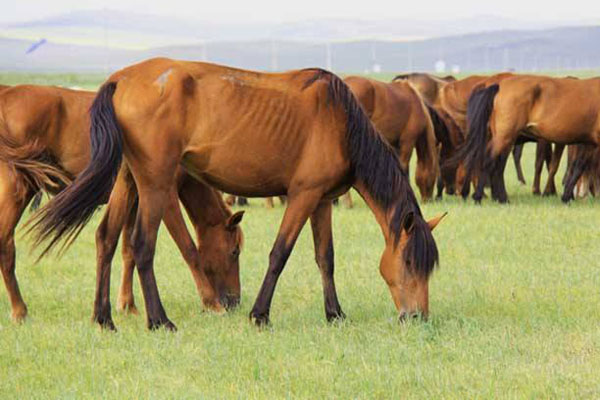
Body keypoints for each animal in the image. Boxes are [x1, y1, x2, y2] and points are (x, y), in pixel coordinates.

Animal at [0, 84, 244, 328]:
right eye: (234, 251)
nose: (235, 302)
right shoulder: (165, 196)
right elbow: (188, 248)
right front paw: (211, 303)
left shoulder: (135, 199)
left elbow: (128, 250)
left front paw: (127, 305)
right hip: (18, 189)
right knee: (6, 244)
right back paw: (19, 310)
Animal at [30, 58, 446, 328]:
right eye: (411, 262)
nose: (417, 317)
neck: (341, 121)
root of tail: (121, 79)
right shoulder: (303, 195)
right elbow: (280, 254)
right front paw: (259, 314)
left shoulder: (322, 202)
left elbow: (324, 258)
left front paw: (335, 314)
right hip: (155, 184)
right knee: (142, 245)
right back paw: (159, 320)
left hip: (128, 182)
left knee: (106, 238)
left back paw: (103, 318)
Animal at [454, 74, 600, 203]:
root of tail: (499, 86)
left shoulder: (589, 143)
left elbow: (578, 166)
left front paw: (566, 197)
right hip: (504, 137)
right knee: (489, 162)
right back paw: (479, 197)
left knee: (497, 166)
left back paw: (501, 199)